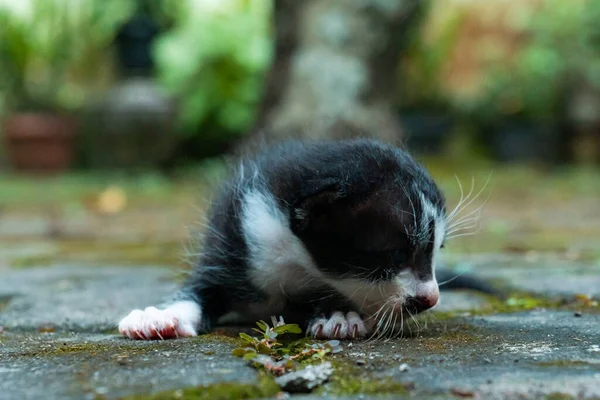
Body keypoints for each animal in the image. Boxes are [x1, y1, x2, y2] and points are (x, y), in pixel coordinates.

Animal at [117, 138, 454, 340]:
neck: (288, 255)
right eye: (397, 255)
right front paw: (162, 316)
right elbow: (198, 290)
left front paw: (338, 313)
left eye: (436, 251)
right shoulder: (227, 243)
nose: (431, 298)